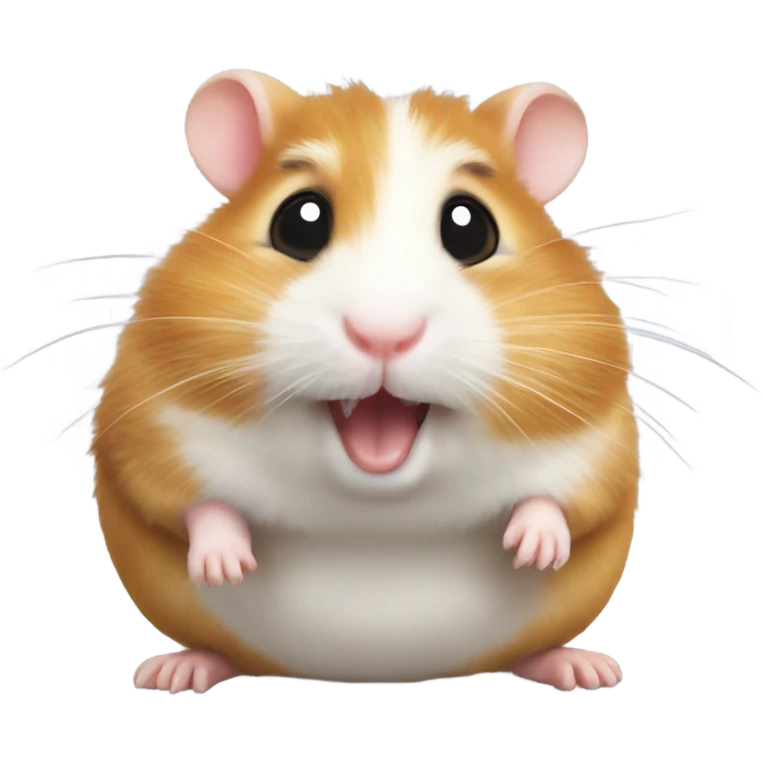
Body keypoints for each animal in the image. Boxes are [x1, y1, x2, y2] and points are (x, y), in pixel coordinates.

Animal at [93, 70, 638, 692]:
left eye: (470, 227)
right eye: (299, 221)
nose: (384, 334)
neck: (376, 508)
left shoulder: (601, 440)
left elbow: (566, 499)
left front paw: (534, 550)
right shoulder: (146, 422)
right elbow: (187, 501)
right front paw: (224, 564)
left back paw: (581, 668)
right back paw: (178, 670)